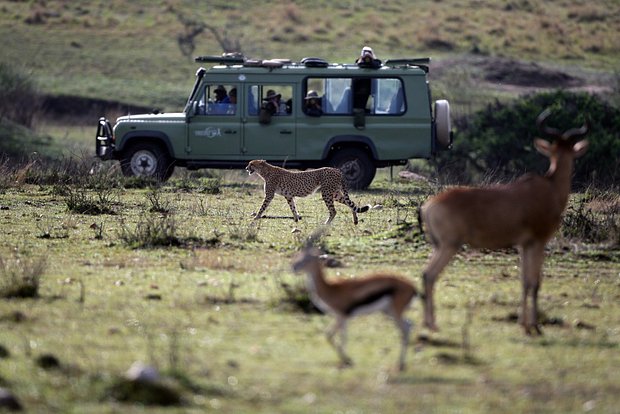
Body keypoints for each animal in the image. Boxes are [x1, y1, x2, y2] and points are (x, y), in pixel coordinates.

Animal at [418, 110, 588, 336]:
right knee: (429, 275)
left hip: (439, 245)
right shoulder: (538, 242)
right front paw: (534, 327)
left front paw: (524, 323)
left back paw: (429, 323)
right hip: (449, 245)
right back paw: (432, 324)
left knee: (426, 274)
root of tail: (429, 205)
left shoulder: (524, 245)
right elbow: (535, 282)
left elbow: (525, 281)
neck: (549, 187)